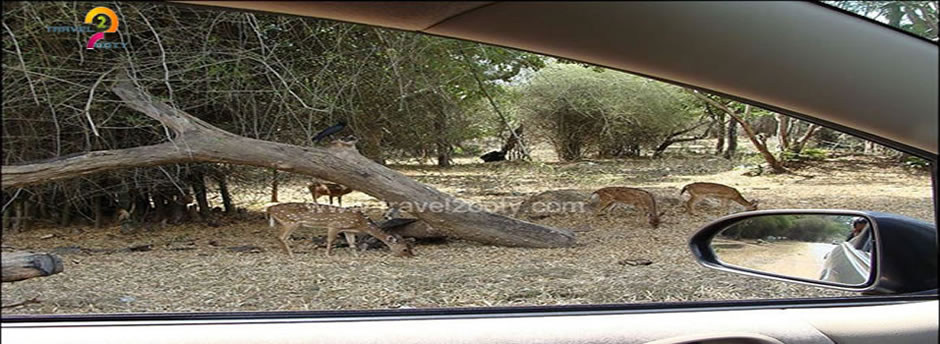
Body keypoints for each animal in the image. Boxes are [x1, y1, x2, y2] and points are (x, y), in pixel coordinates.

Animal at [264, 202, 412, 258]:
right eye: (405, 249)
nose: (411, 255)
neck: (360, 223)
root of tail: (269, 209)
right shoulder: (334, 225)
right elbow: (331, 240)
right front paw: (328, 254)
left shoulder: (348, 230)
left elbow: (352, 243)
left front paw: (356, 255)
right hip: (291, 222)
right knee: (282, 237)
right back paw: (291, 254)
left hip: (287, 223)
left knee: (278, 237)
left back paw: (286, 253)